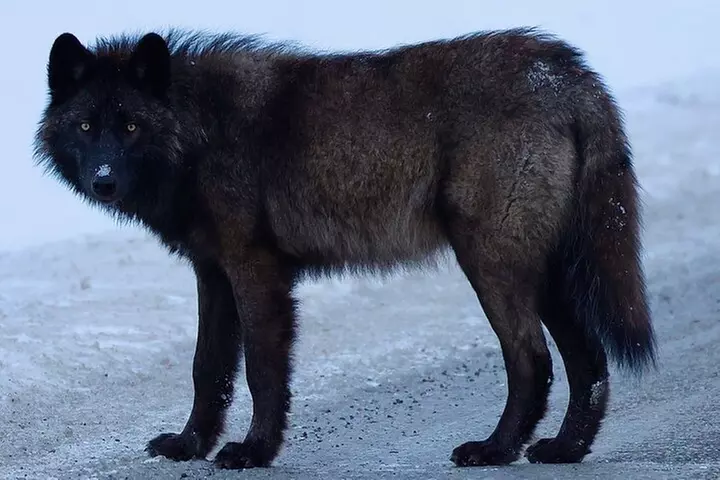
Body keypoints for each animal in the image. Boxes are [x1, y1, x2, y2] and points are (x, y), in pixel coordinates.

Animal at [34, 27, 656, 469]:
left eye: (131, 127)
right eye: (86, 127)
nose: (104, 181)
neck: (200, 133)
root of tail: (566, 71)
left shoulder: (256, 271)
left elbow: (261, 371)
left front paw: (253, 452)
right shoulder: (212, 274)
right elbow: (207, 370)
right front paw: (189, 447)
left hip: (492, 264)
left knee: (532, 359)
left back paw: (495, 450)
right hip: (540, 273)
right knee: (589, 360)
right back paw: (564, 450)